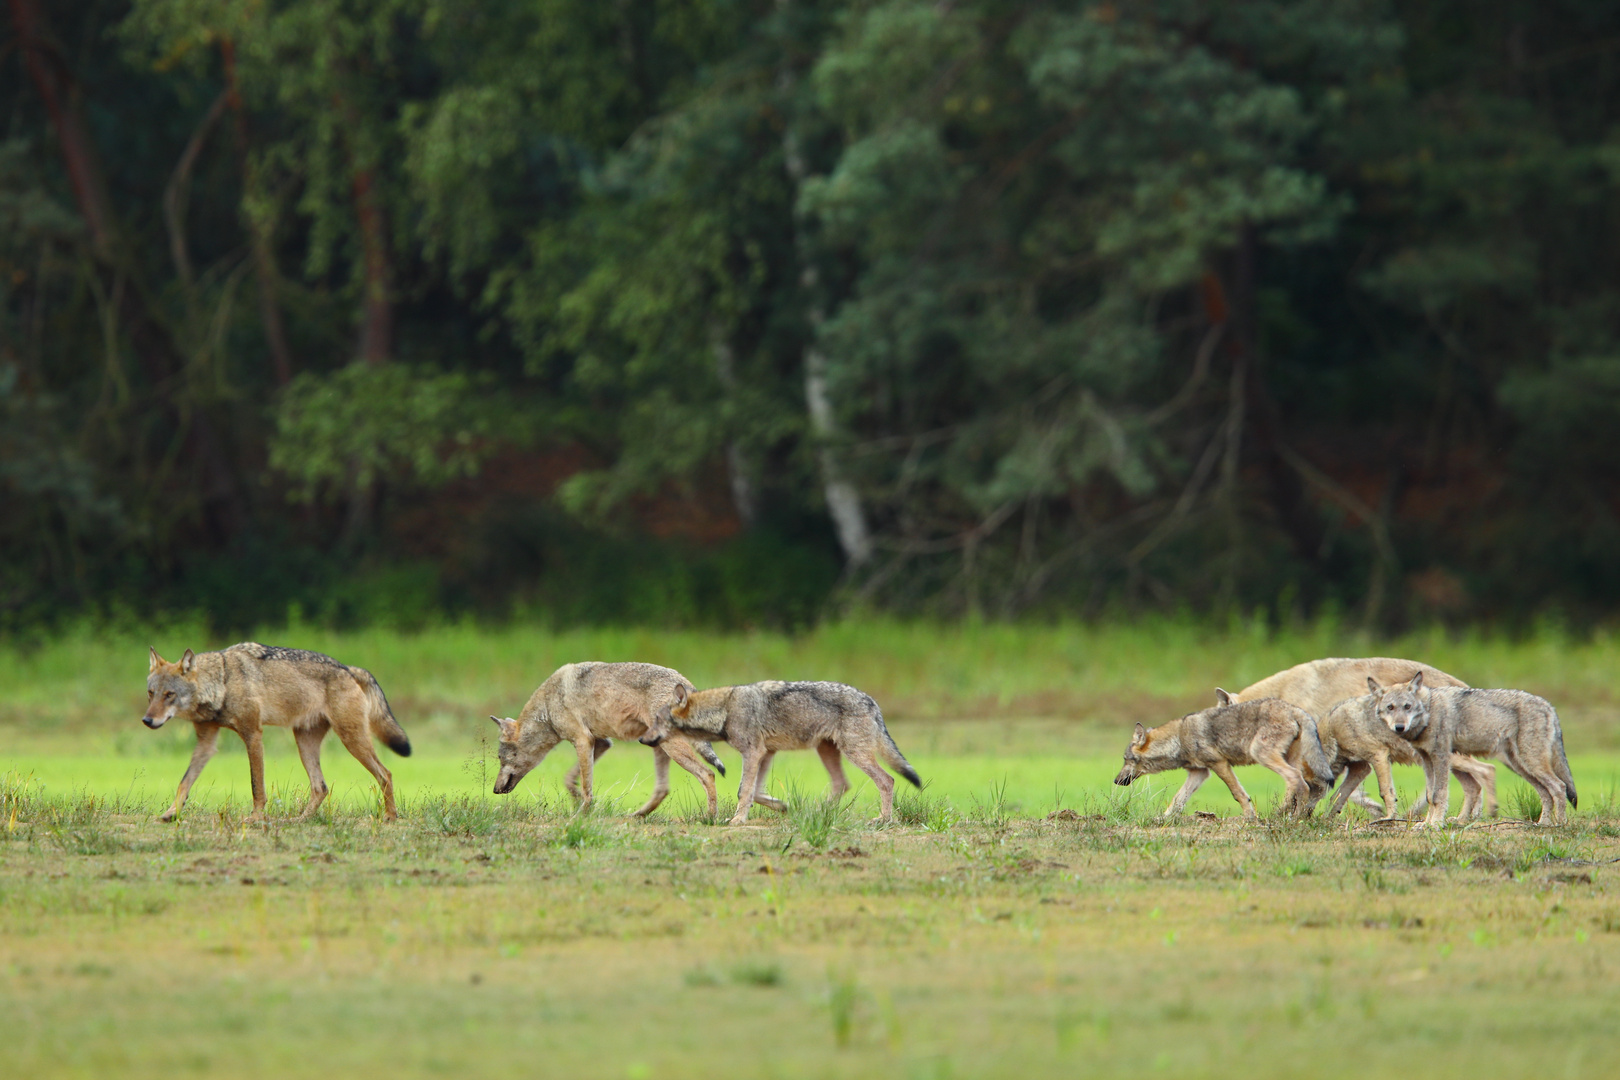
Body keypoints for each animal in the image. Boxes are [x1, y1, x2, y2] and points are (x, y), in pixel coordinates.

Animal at [142, 641, 411, 819]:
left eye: (169, 695)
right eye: (151, 693)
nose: (147, 720)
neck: (222, 682)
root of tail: (348, 668)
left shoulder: (253, 735)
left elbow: (256, 785)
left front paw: (256, 818)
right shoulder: (206, 744)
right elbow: (184, 782)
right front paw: (171, 813)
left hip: (352, 740)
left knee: (385, 774)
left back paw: (390, 817)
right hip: (305, 744)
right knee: (321, 787)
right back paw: (301, 820)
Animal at [489, 660, 725, 819]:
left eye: (500, 759)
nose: (494, 790)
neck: (547, 706)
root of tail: (685, 683)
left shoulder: (583, 740)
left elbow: (587, 787)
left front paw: (581, 815)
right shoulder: (601, 743)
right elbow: (570, 779)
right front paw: (576, 800)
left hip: (671, 748)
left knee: (708, 774)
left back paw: (710, 817)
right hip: (659, 747)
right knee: (662, 790)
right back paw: (637, 815)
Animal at [635, 683, 920, 829]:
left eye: (656, 719)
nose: (641, 740)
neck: (724, 710)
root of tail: (873, 702)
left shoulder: (753, 753)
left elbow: (744, 790)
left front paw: (738, 819)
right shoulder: (767, 753)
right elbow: (754, 792)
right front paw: (782, 807)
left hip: (854, 754)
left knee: (887, 780)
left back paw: (884, 819)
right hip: (827, 751)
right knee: (842, 784)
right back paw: (815, 813)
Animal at [1114, 693, 1328, 819]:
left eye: (1125, 760)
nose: (1115, 781)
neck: (1179, 738)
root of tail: (1294, 709)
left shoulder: (1220, 764)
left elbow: (1238, 794)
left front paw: (1249, 817)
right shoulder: (1199, 773)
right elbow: (1177, 800)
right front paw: (1163, 819)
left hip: (1262, 755)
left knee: (1297, 781)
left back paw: (1288, 815)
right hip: (1286, 760)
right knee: (1300, 784)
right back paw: (1290, 816)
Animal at [1373, 676, 1574, 829]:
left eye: (1407, 706)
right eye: (1390, 707)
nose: (1399, 727)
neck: (1429, 710)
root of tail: (1549, 706)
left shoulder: (1441, 757)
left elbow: (1439, 795)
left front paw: (1435, 824)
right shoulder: (1426, 760)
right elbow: (1430, 796)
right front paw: (1426, 824)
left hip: (1530, 764)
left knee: (1559, 786)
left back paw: (1559, 824)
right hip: (1522, 768)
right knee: (1546, 793)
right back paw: (1543, 823)